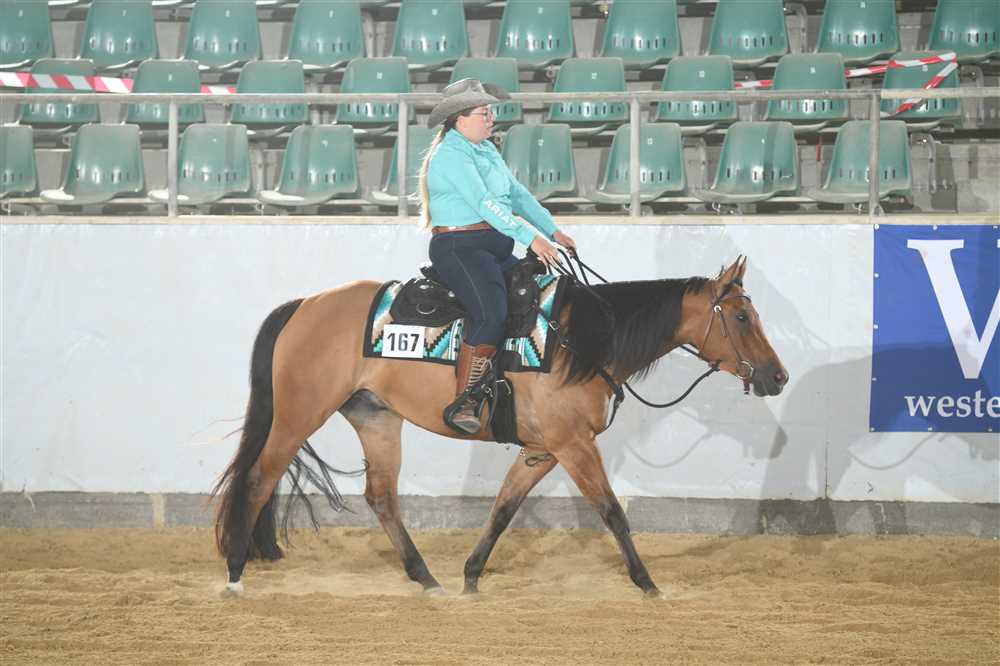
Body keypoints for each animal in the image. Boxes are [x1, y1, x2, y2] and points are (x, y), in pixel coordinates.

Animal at [212, 256, 788, 597]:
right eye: (741, 317)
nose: (777, 376)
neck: (582, 341)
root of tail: (304, 305)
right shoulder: (573, 445)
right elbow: (612, 513)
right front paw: (647, 583)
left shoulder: (544, 449)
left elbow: (504, 508)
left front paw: (471, 577)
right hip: (298, 413)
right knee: (259, 479)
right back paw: (237, 572)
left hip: (376, 417)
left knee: (381, 496)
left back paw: (426, 578)